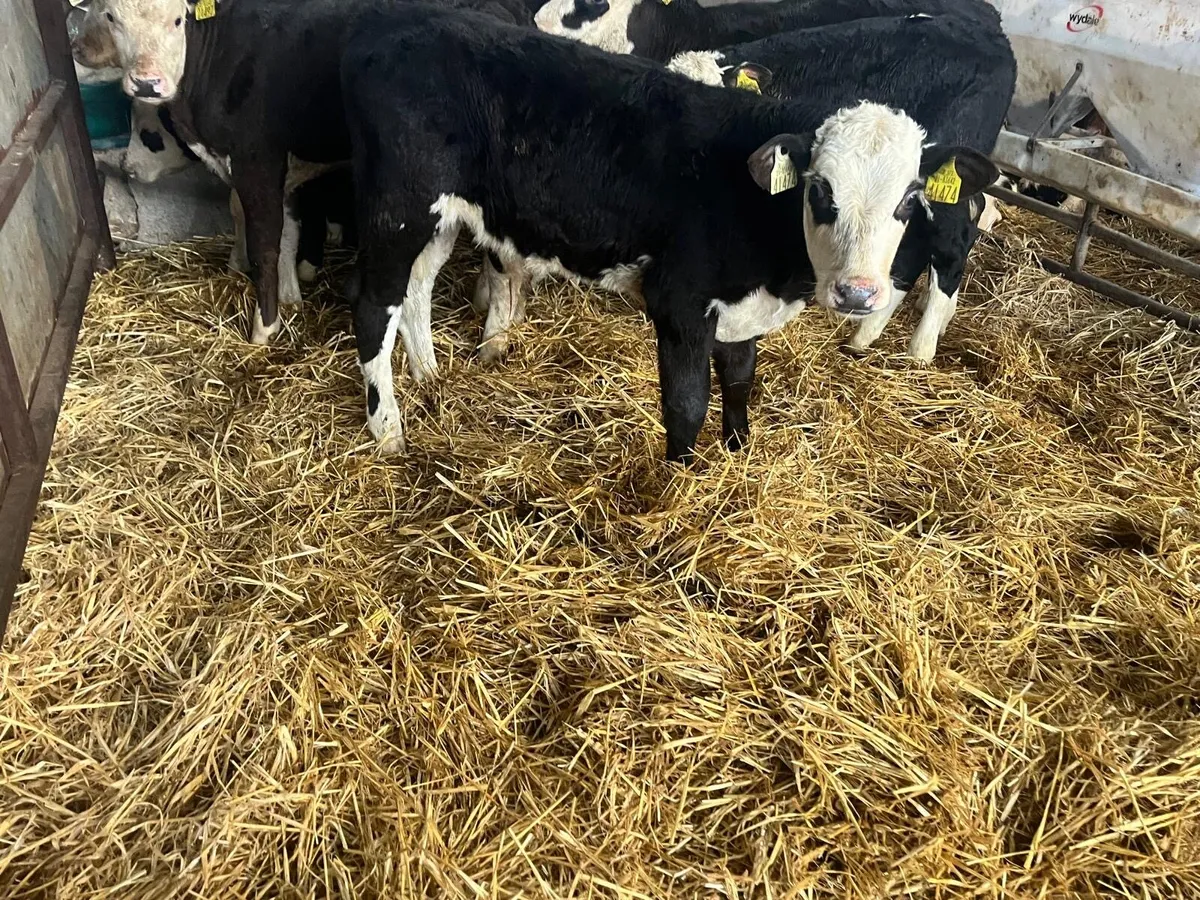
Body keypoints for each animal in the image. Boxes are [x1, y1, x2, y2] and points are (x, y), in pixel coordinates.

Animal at [341, 6, 1008, 460]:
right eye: (820, 189)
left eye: (909, 198)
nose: (857, 293)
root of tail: (400, 31)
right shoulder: (679, 303)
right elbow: (687, 406)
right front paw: (677, 484)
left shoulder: (741, 307)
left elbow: (739, 383)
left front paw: (737, 456)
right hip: (397, 208)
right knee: (374, 308)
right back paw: (388, 429)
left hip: (439, 217)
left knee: (416, 292)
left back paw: (429, 376)